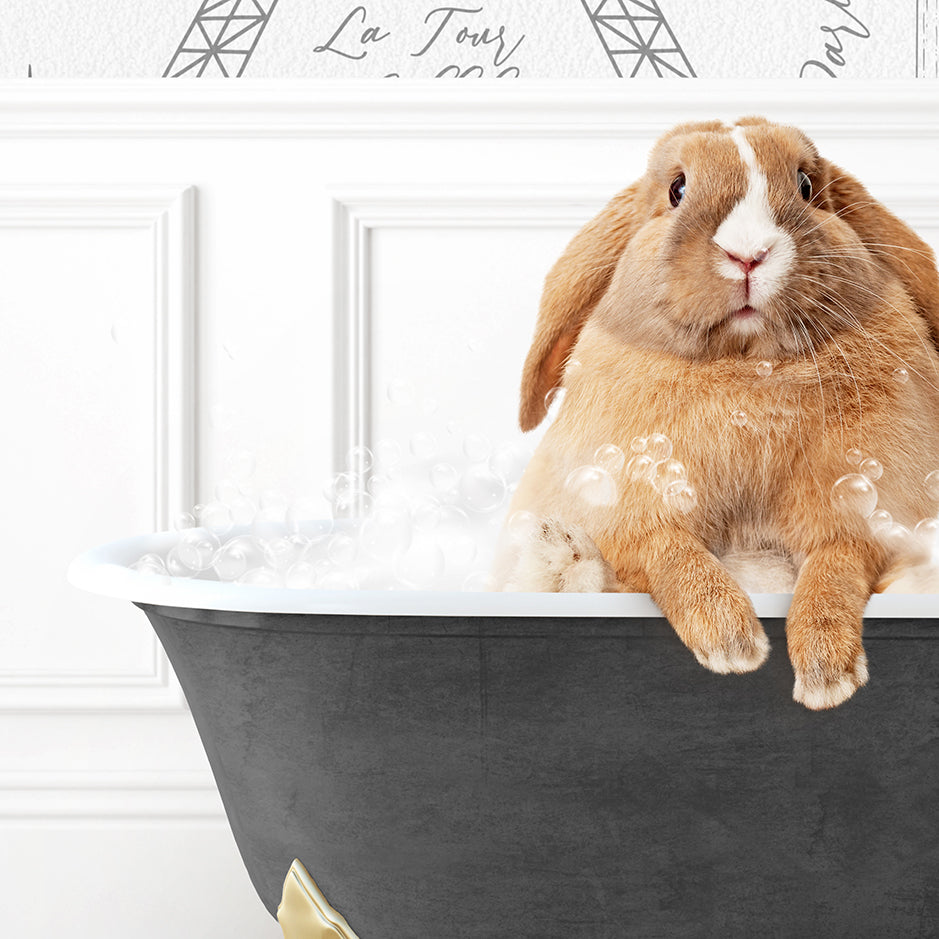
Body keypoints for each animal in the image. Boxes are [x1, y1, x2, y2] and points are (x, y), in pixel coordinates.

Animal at [500, 117, 939, 708]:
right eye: (677, 189)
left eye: (806, 185)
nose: (748, 254)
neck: (746, 369)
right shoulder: (631, 505)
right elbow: (669, 550)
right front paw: (731, 642)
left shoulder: (860, 513)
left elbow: (835, 567)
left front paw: (826, 674)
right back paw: (561, 553)